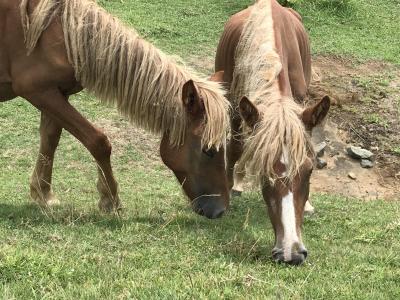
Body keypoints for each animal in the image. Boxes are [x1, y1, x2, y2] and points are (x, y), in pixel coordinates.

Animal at [0, 0, 230, 219]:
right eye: (208, 150)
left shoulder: (56, 93)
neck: (59, 30)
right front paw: (110, 199)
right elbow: (98, 141)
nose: (221, 210)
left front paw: (43, 194)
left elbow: (50, 141)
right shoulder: (40, 92)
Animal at [216, 0, 332, 262]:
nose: (291, 253)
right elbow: (235, 147)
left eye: (310, 170)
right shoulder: (237, 108)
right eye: (263, 172)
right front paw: (228, 189)